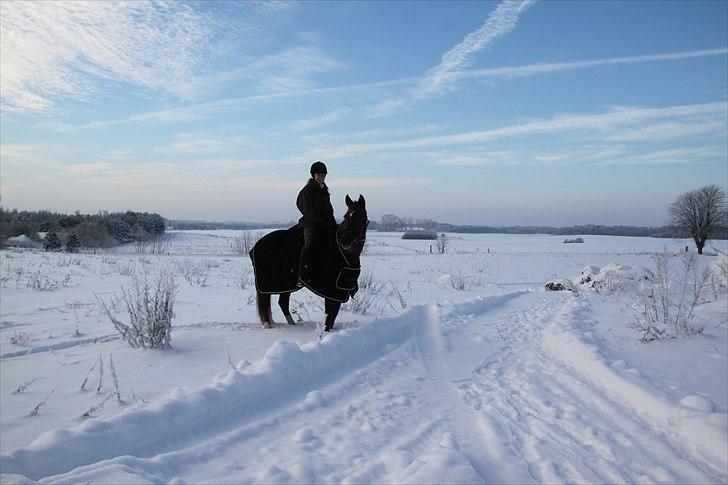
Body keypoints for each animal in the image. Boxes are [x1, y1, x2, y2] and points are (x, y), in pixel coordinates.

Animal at [252, 195, 370, 330]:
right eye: (346, 216)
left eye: (361, 218)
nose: (345, 241)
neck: (340, 251)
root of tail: (256, 246)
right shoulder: (331, 291)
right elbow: (329, 316)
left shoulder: (337, 292)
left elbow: (332, 316)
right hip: (265, 285)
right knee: (265, 303)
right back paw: (268, 326)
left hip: (286, 285)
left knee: (282, 303)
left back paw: (292, 325)